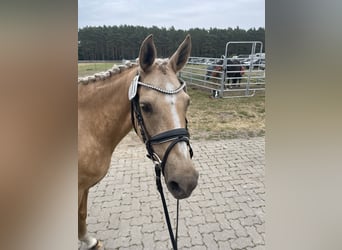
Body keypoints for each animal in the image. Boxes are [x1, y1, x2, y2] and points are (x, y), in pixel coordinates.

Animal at [78, 34, 199, 248]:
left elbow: (82, 215)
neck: (86, 126)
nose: (186, 182)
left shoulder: (83, 187)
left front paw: (89, 241)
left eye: (188, 102)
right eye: (145, 106)